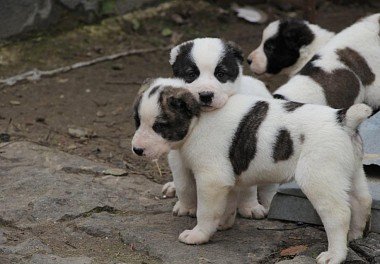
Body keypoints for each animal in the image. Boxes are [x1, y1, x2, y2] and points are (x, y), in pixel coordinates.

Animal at [163, 37, 276, 219]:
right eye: (191, 75)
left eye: (220, 74)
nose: (205, 95)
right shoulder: (177, 156)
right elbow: (183, 184)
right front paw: (186, 207)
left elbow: (249, 188)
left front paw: (250, 207)